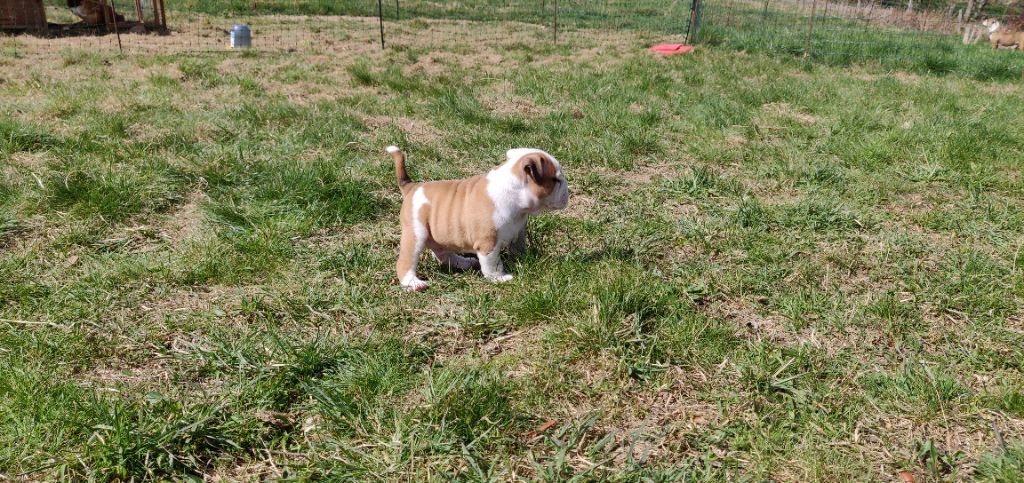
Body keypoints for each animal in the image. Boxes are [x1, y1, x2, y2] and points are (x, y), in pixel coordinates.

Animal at [386, 146, 569, 291]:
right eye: (556, 180)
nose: (569, 189)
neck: (514, 194)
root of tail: (411, 187)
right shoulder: (488, 243)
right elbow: (493, 263)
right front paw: (499, 278)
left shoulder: (519, 232)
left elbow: (518, 247)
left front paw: (525, 258)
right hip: (416, 234)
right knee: (406, 262)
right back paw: (413, 283)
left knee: (442, 253)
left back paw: (464, 262)